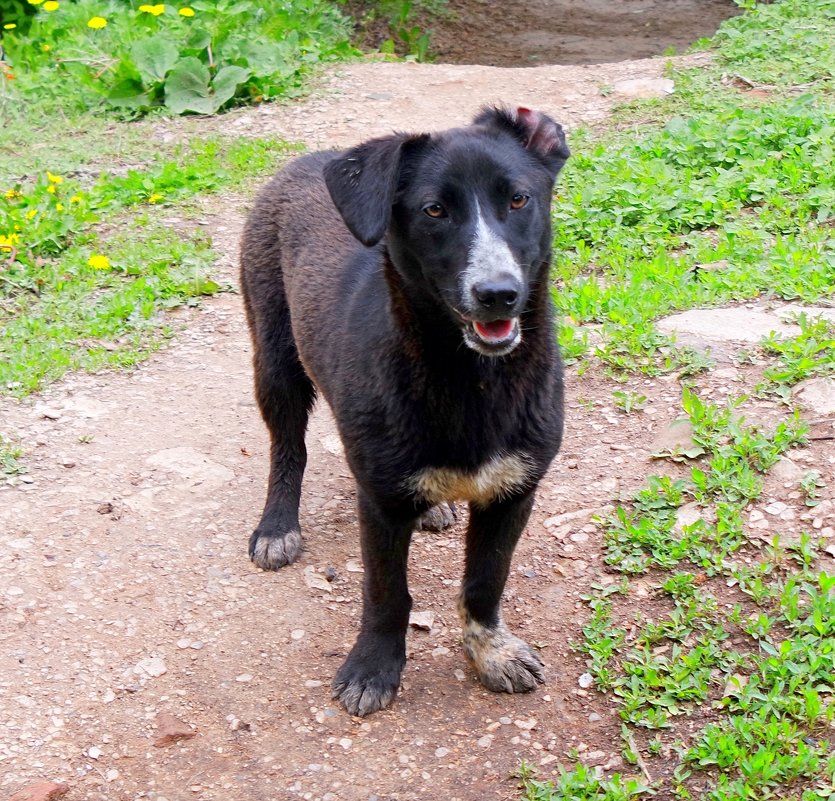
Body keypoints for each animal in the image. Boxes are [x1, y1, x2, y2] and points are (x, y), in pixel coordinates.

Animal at [238, 104, 572, 712]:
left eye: (519, 200)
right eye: (433, 210)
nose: (498, 293)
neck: (470, 380)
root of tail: (310, 159)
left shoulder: (515, 492)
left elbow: (486, 582)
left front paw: (491, 653)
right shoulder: (380, 503)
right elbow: (386, 592)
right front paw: (373, 667)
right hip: (274, 362)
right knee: (287, 447)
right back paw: (277, 524)